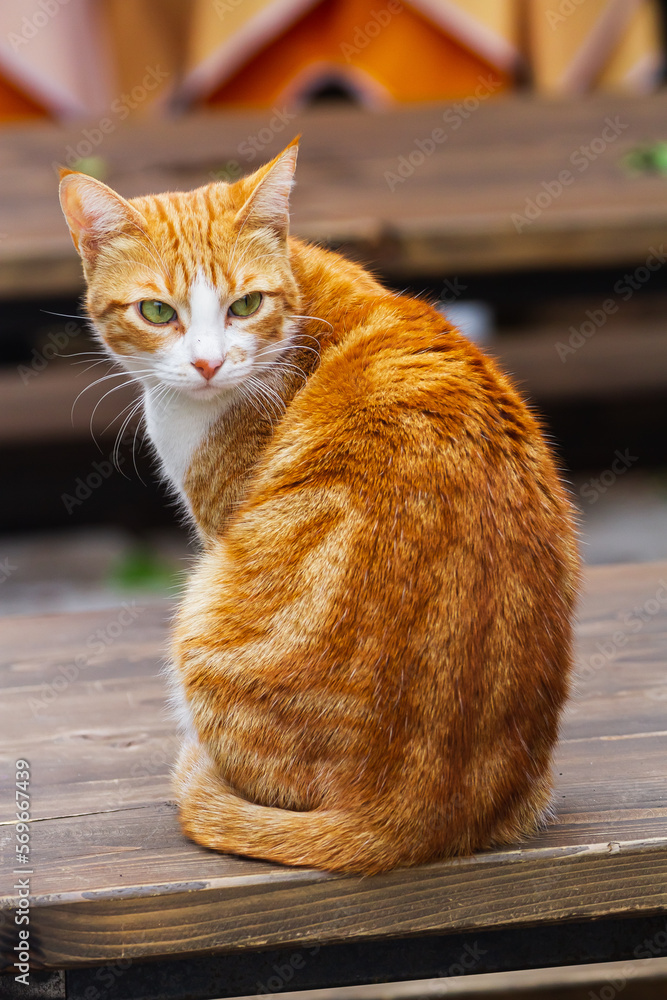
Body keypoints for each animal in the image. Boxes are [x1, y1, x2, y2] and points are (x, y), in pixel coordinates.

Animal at [60, 137, 580, 872]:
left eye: (245, 304)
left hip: (202, 613)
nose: (208, 364)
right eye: (158, 312)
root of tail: (408, 817)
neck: (302, 293)